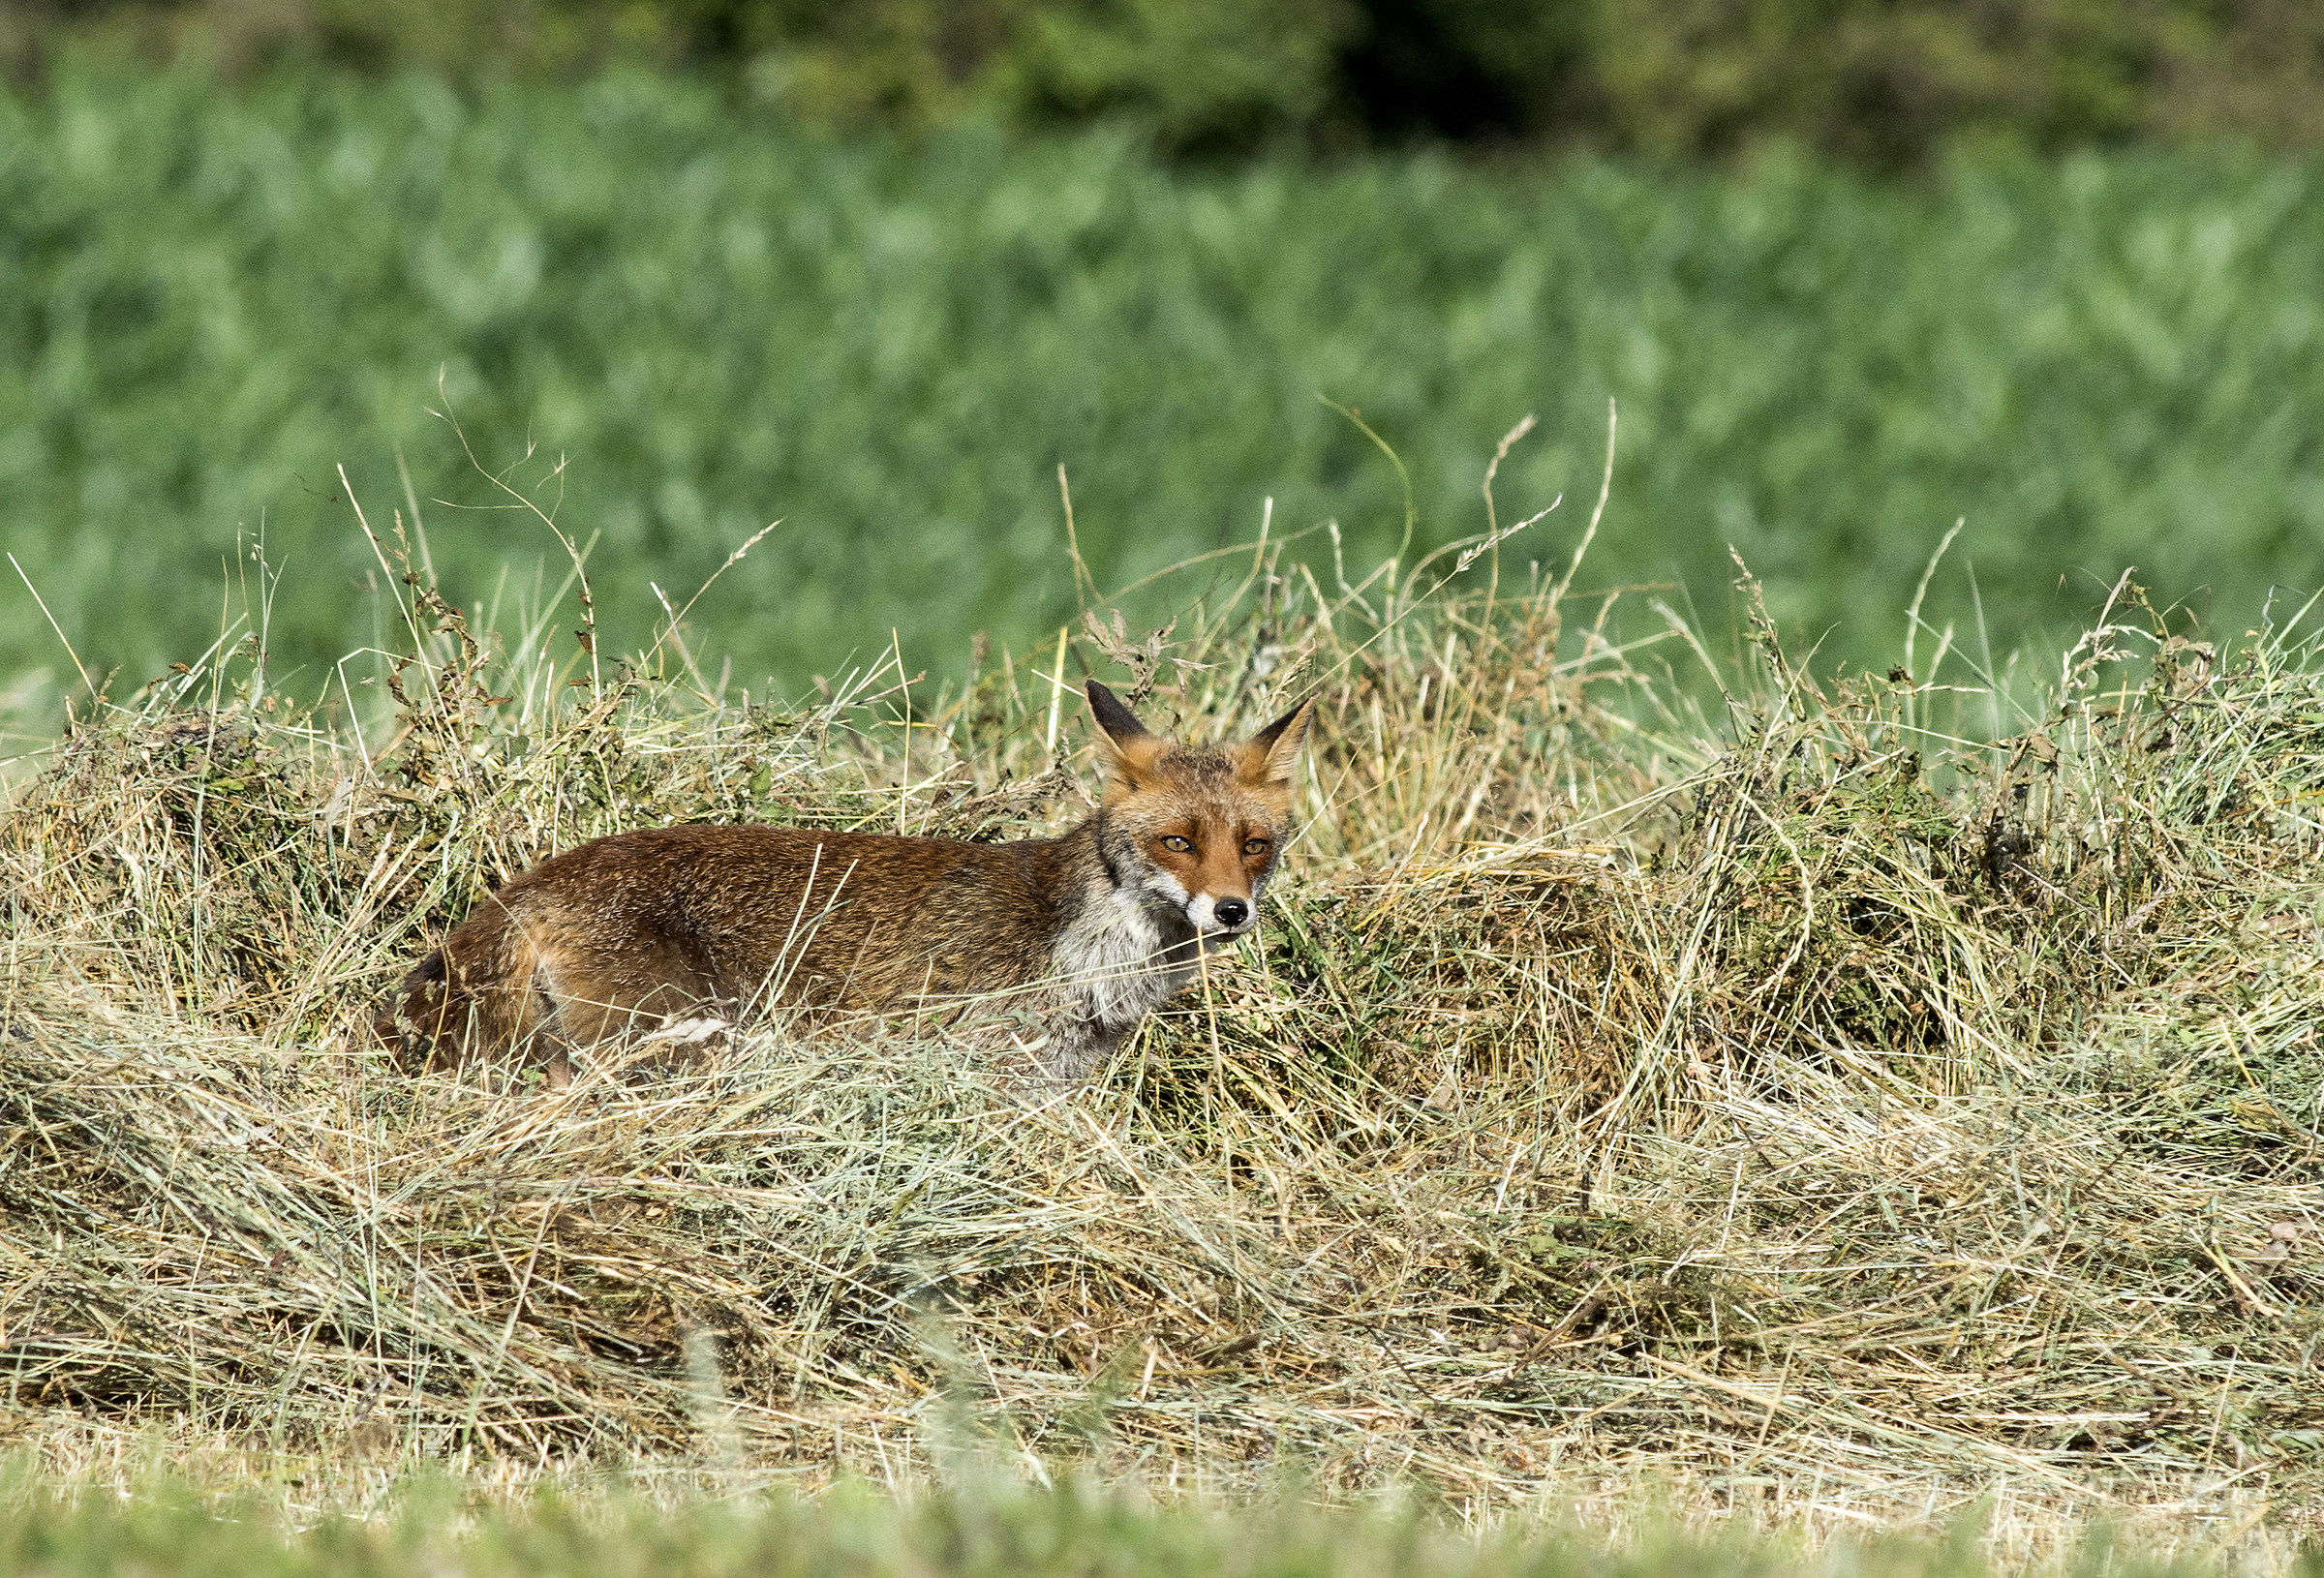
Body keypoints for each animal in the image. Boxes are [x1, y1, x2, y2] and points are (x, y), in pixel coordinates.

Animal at [374, 681, 1315, 1084]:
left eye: (1255, 845)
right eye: (1177, 842)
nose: (1232, 911)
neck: (1082, 950)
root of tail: (526, 886)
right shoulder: (978, 1068)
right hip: (684, 1046)